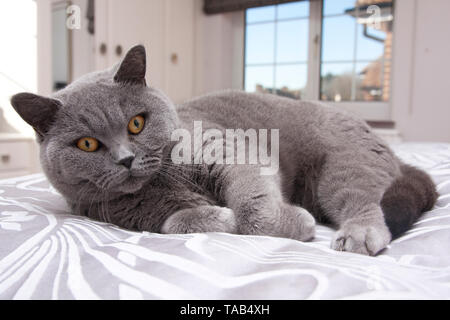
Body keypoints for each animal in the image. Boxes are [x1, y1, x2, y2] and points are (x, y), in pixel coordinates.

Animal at [10, 45, 438, 255]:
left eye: (136, 123)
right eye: (87, 144)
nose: (126, 159)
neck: (161, 183)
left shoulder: (229, 149)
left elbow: (254, 208)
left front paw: (294, 224)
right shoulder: (127, 215)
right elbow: (174, 222)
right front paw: (219, 218)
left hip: (343, 167)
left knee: (362, 200)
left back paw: (357, 235)